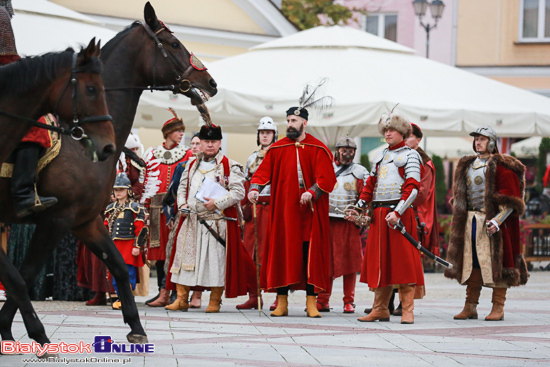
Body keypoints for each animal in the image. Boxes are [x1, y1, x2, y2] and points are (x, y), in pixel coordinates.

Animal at [0, 2, 219, 348]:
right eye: (173, 44)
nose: (210, 82)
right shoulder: (58, 219)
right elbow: (25, 273)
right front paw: (20, 330)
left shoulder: (85, 221)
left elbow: (117, 263)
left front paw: (136, 326)